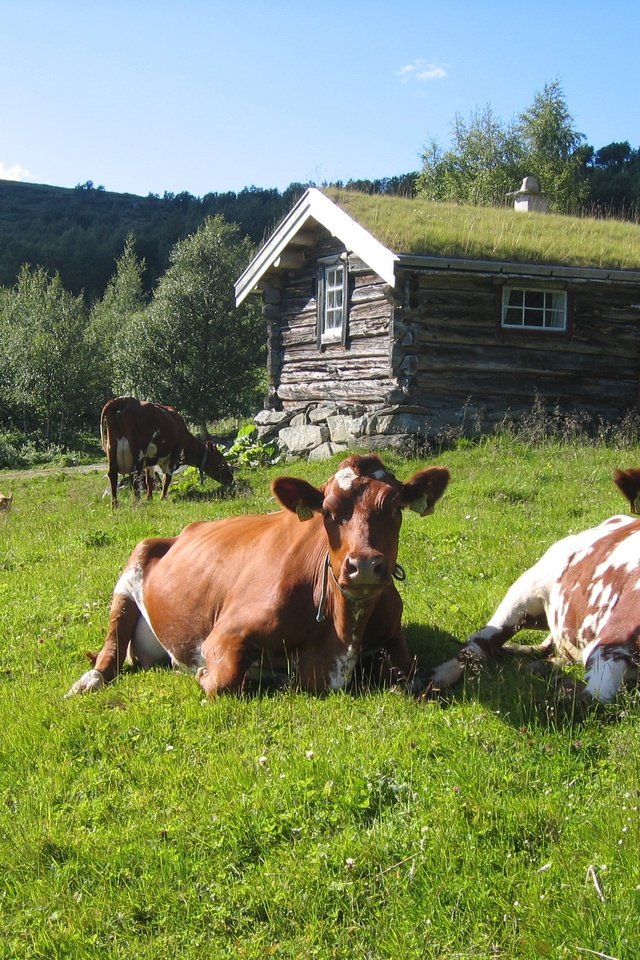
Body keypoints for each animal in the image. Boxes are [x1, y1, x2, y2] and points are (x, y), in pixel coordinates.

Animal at [62, 456, 448, 696]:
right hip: (133, 567)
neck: (340, 641)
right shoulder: (223, 636)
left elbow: (409, 674)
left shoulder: (393, 636)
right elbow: (223, 679)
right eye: (327, 511)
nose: (364, 564)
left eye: (396, 508)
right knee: (112, 646)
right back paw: (90, 680)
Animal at [102, 394, 235, 506]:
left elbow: (150, 479)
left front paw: (150, 498)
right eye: (221, 460)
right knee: (135, 477)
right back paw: (137, 503)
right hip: (137, 452)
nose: (231, 478)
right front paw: (162, 498)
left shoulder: (150, 460)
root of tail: (124, 399)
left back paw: (115, 505)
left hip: (111, 450)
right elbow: (167, 478)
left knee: (113, 475)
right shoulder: (176, 453)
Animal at [430, 512, 640, 700]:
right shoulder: (610, 642)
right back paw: (435, 679)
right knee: (480, 642)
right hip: (526, 590)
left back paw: (535, 663)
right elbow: (597, 695)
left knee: (546, 648)